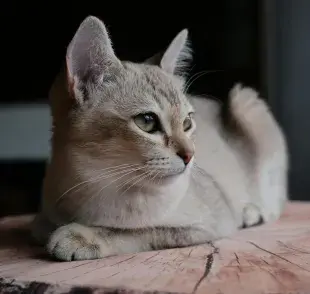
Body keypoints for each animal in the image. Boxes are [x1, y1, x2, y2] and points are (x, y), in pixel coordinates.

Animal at [31, 16, 288, 260]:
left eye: (187, 123)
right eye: (147, 121)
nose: (190, 155)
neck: (100, 186)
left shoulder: (211, 222)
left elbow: (135, 231)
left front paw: (82, 236)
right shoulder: (43, 217)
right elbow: (41, 226)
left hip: (244, 101)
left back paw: (252, 211)